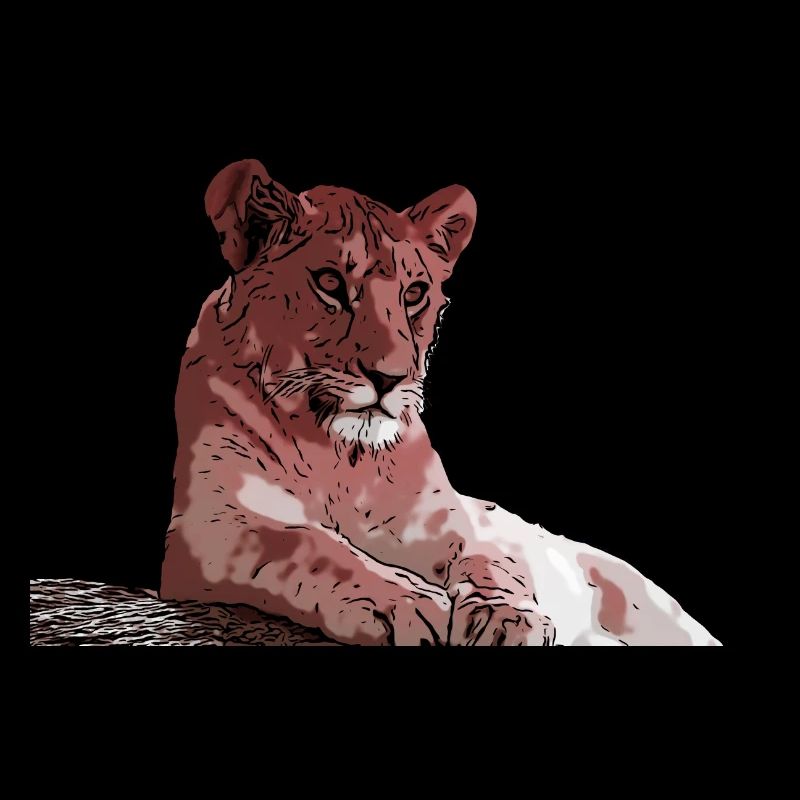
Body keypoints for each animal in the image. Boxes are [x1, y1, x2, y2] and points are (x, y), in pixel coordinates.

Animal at [160, 158, 721, 646]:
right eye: (330, 284)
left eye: (414, 294)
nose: (388, 378)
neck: (340, 458)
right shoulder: (214, 524)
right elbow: (308, 544)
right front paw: (407, 603)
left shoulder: (456, 521)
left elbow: (493, 562)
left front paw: (507, 618)